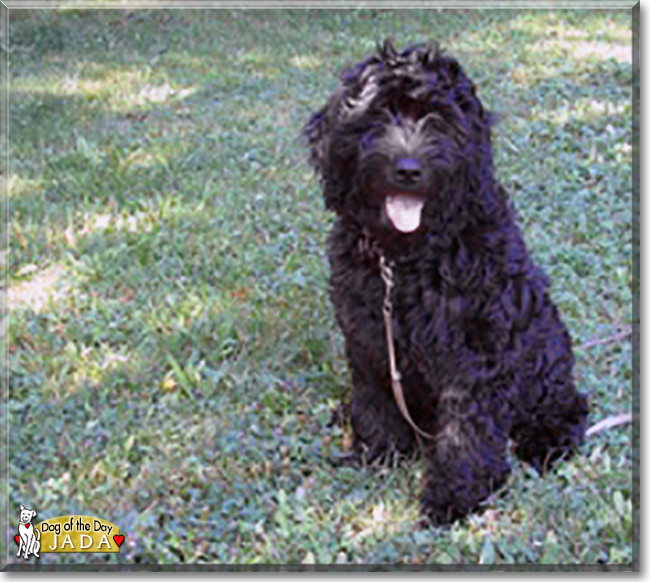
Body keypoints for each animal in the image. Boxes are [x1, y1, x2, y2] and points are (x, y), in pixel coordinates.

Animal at [304, 41, 588, 524]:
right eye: (379, 114)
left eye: (439, 118)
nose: (408, 169)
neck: (406, 256)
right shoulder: (368, 336)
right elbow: (375, 399)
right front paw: (379, 453)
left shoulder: (475, 350)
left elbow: (466, 429)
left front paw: (455, 495)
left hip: (546, 361)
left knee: (567, 408)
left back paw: (547, 441)